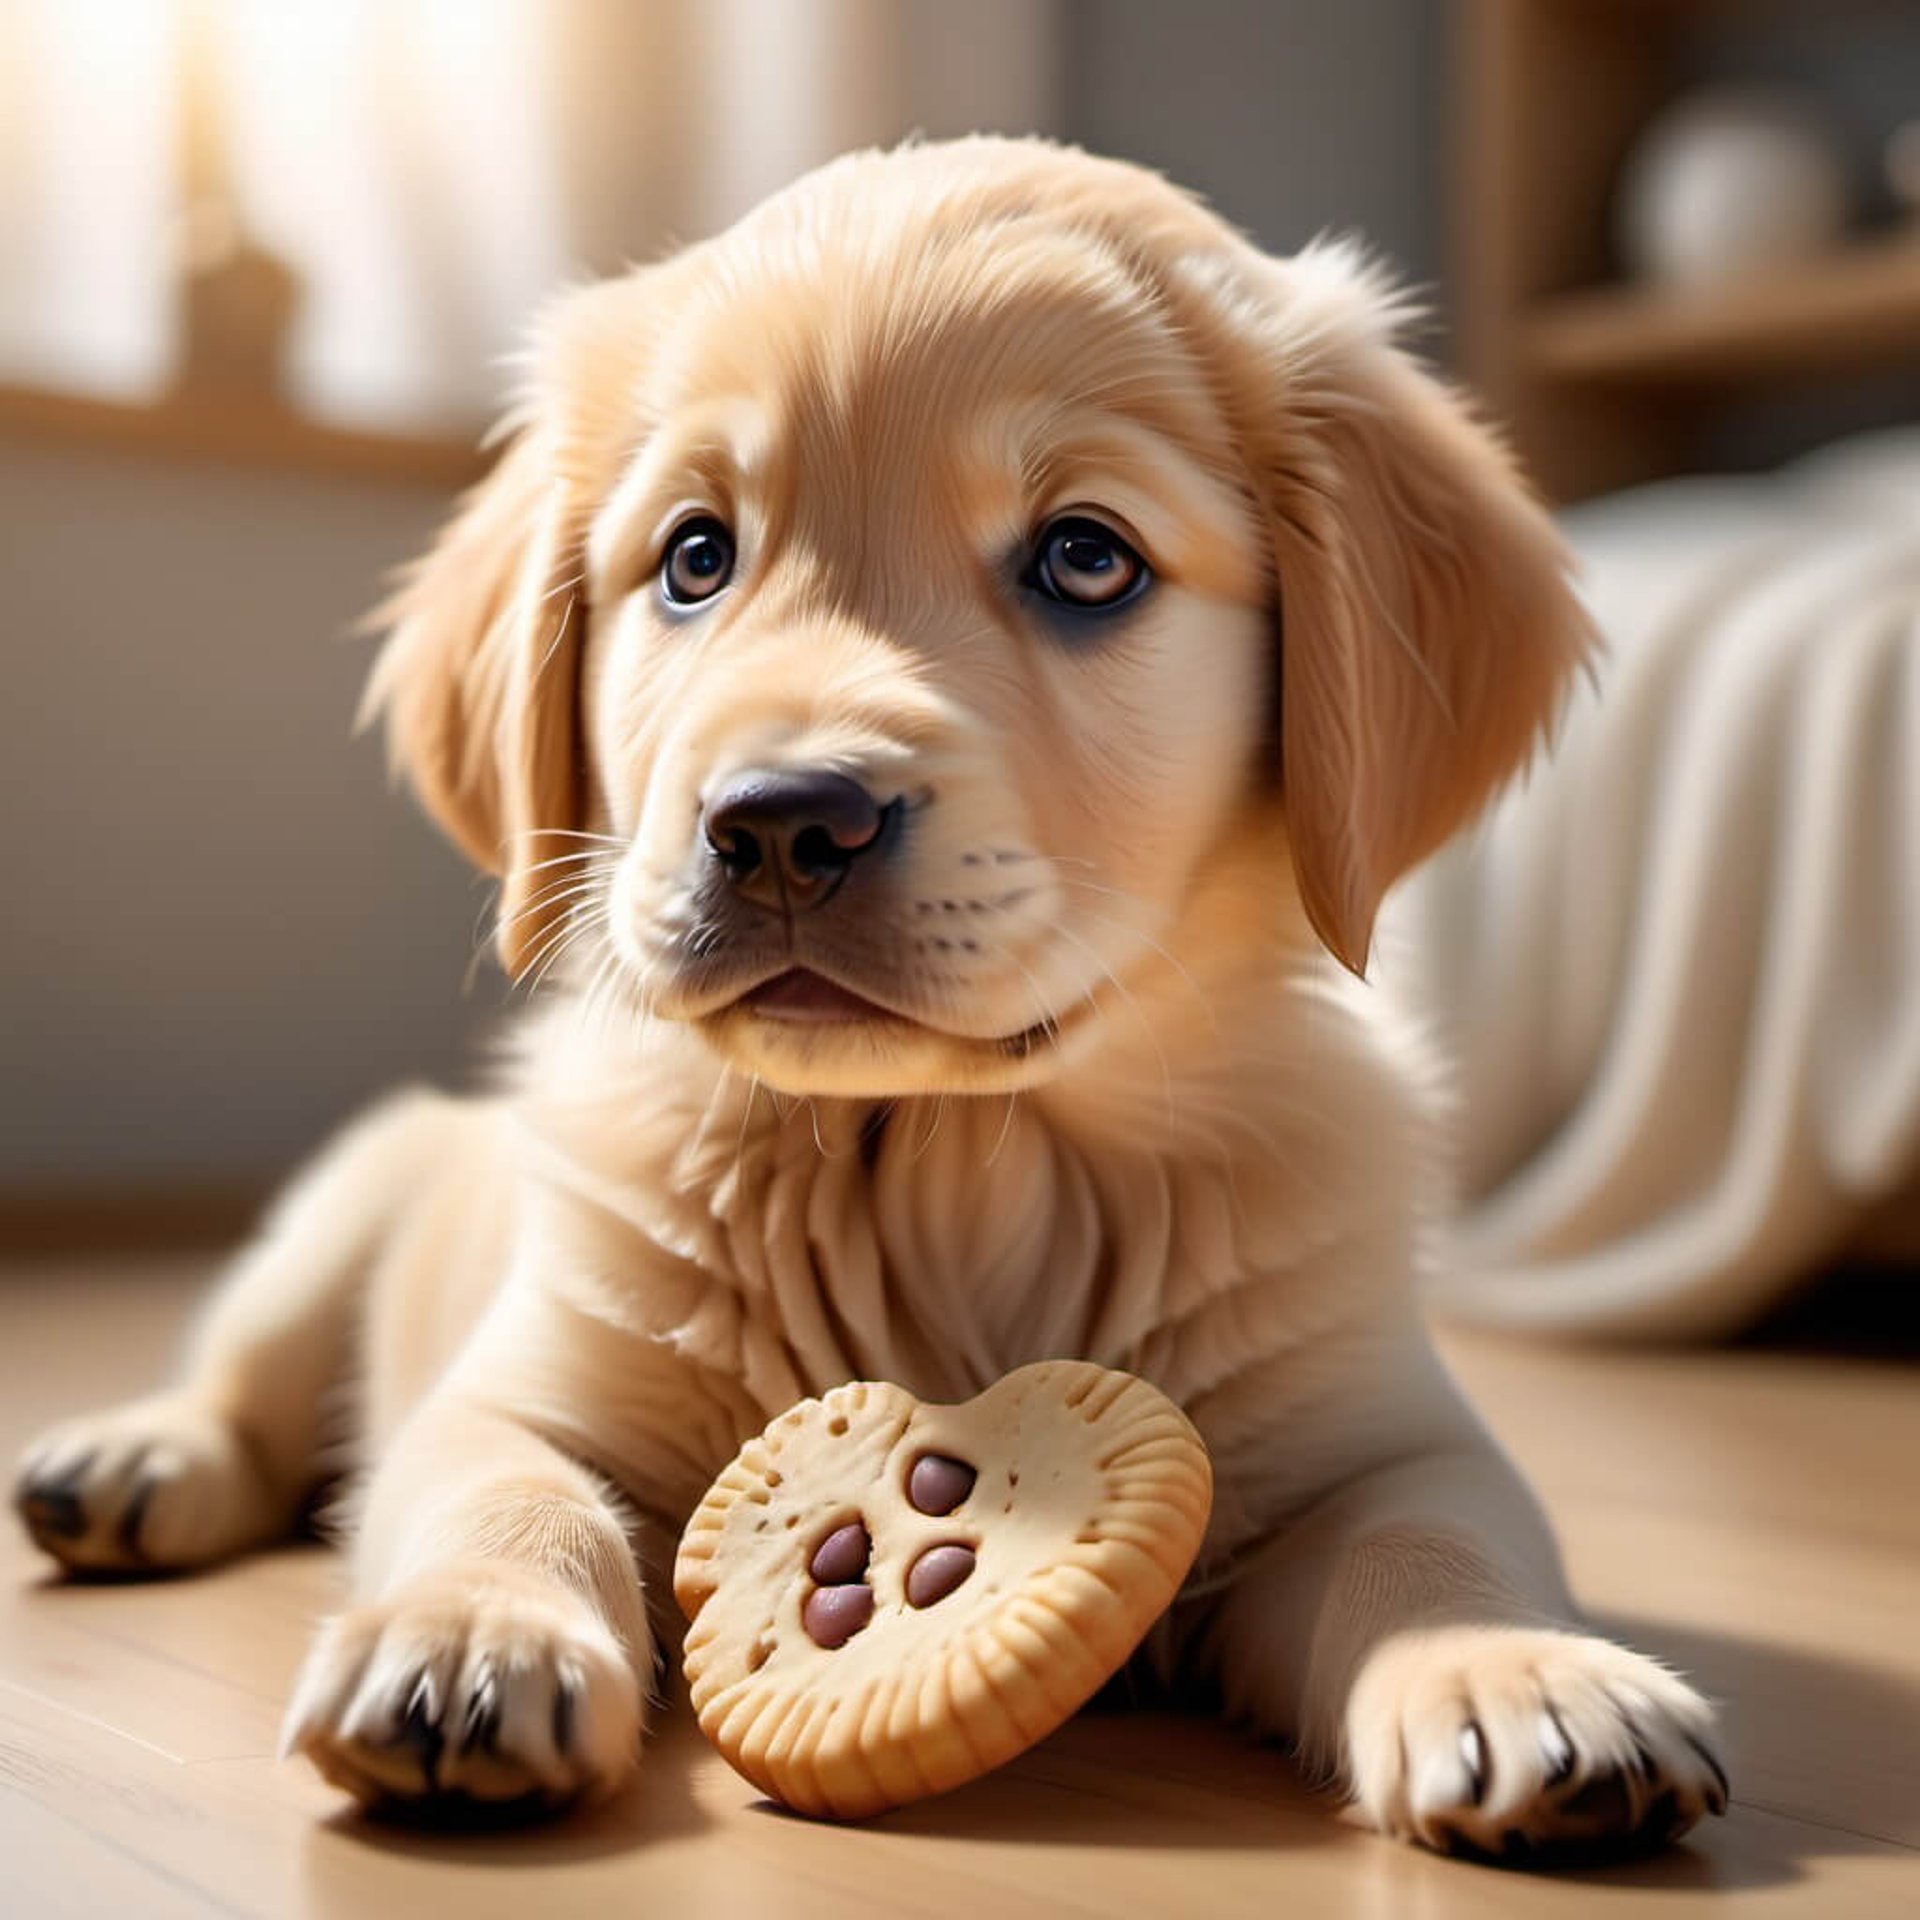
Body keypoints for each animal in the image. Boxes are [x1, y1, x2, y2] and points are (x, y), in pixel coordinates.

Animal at [15, 139, 1728, 1858]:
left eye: (1086, 556)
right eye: (695, 558)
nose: (781, 825)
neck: (959, 1161)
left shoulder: (1374, 1429)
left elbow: (1434, 1539)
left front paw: (1520, 1672)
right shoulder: (525, 1384)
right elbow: (509, 1490)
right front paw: (467, 1638)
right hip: (349, 1207)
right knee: (246, 1379)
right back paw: (132, 1460)